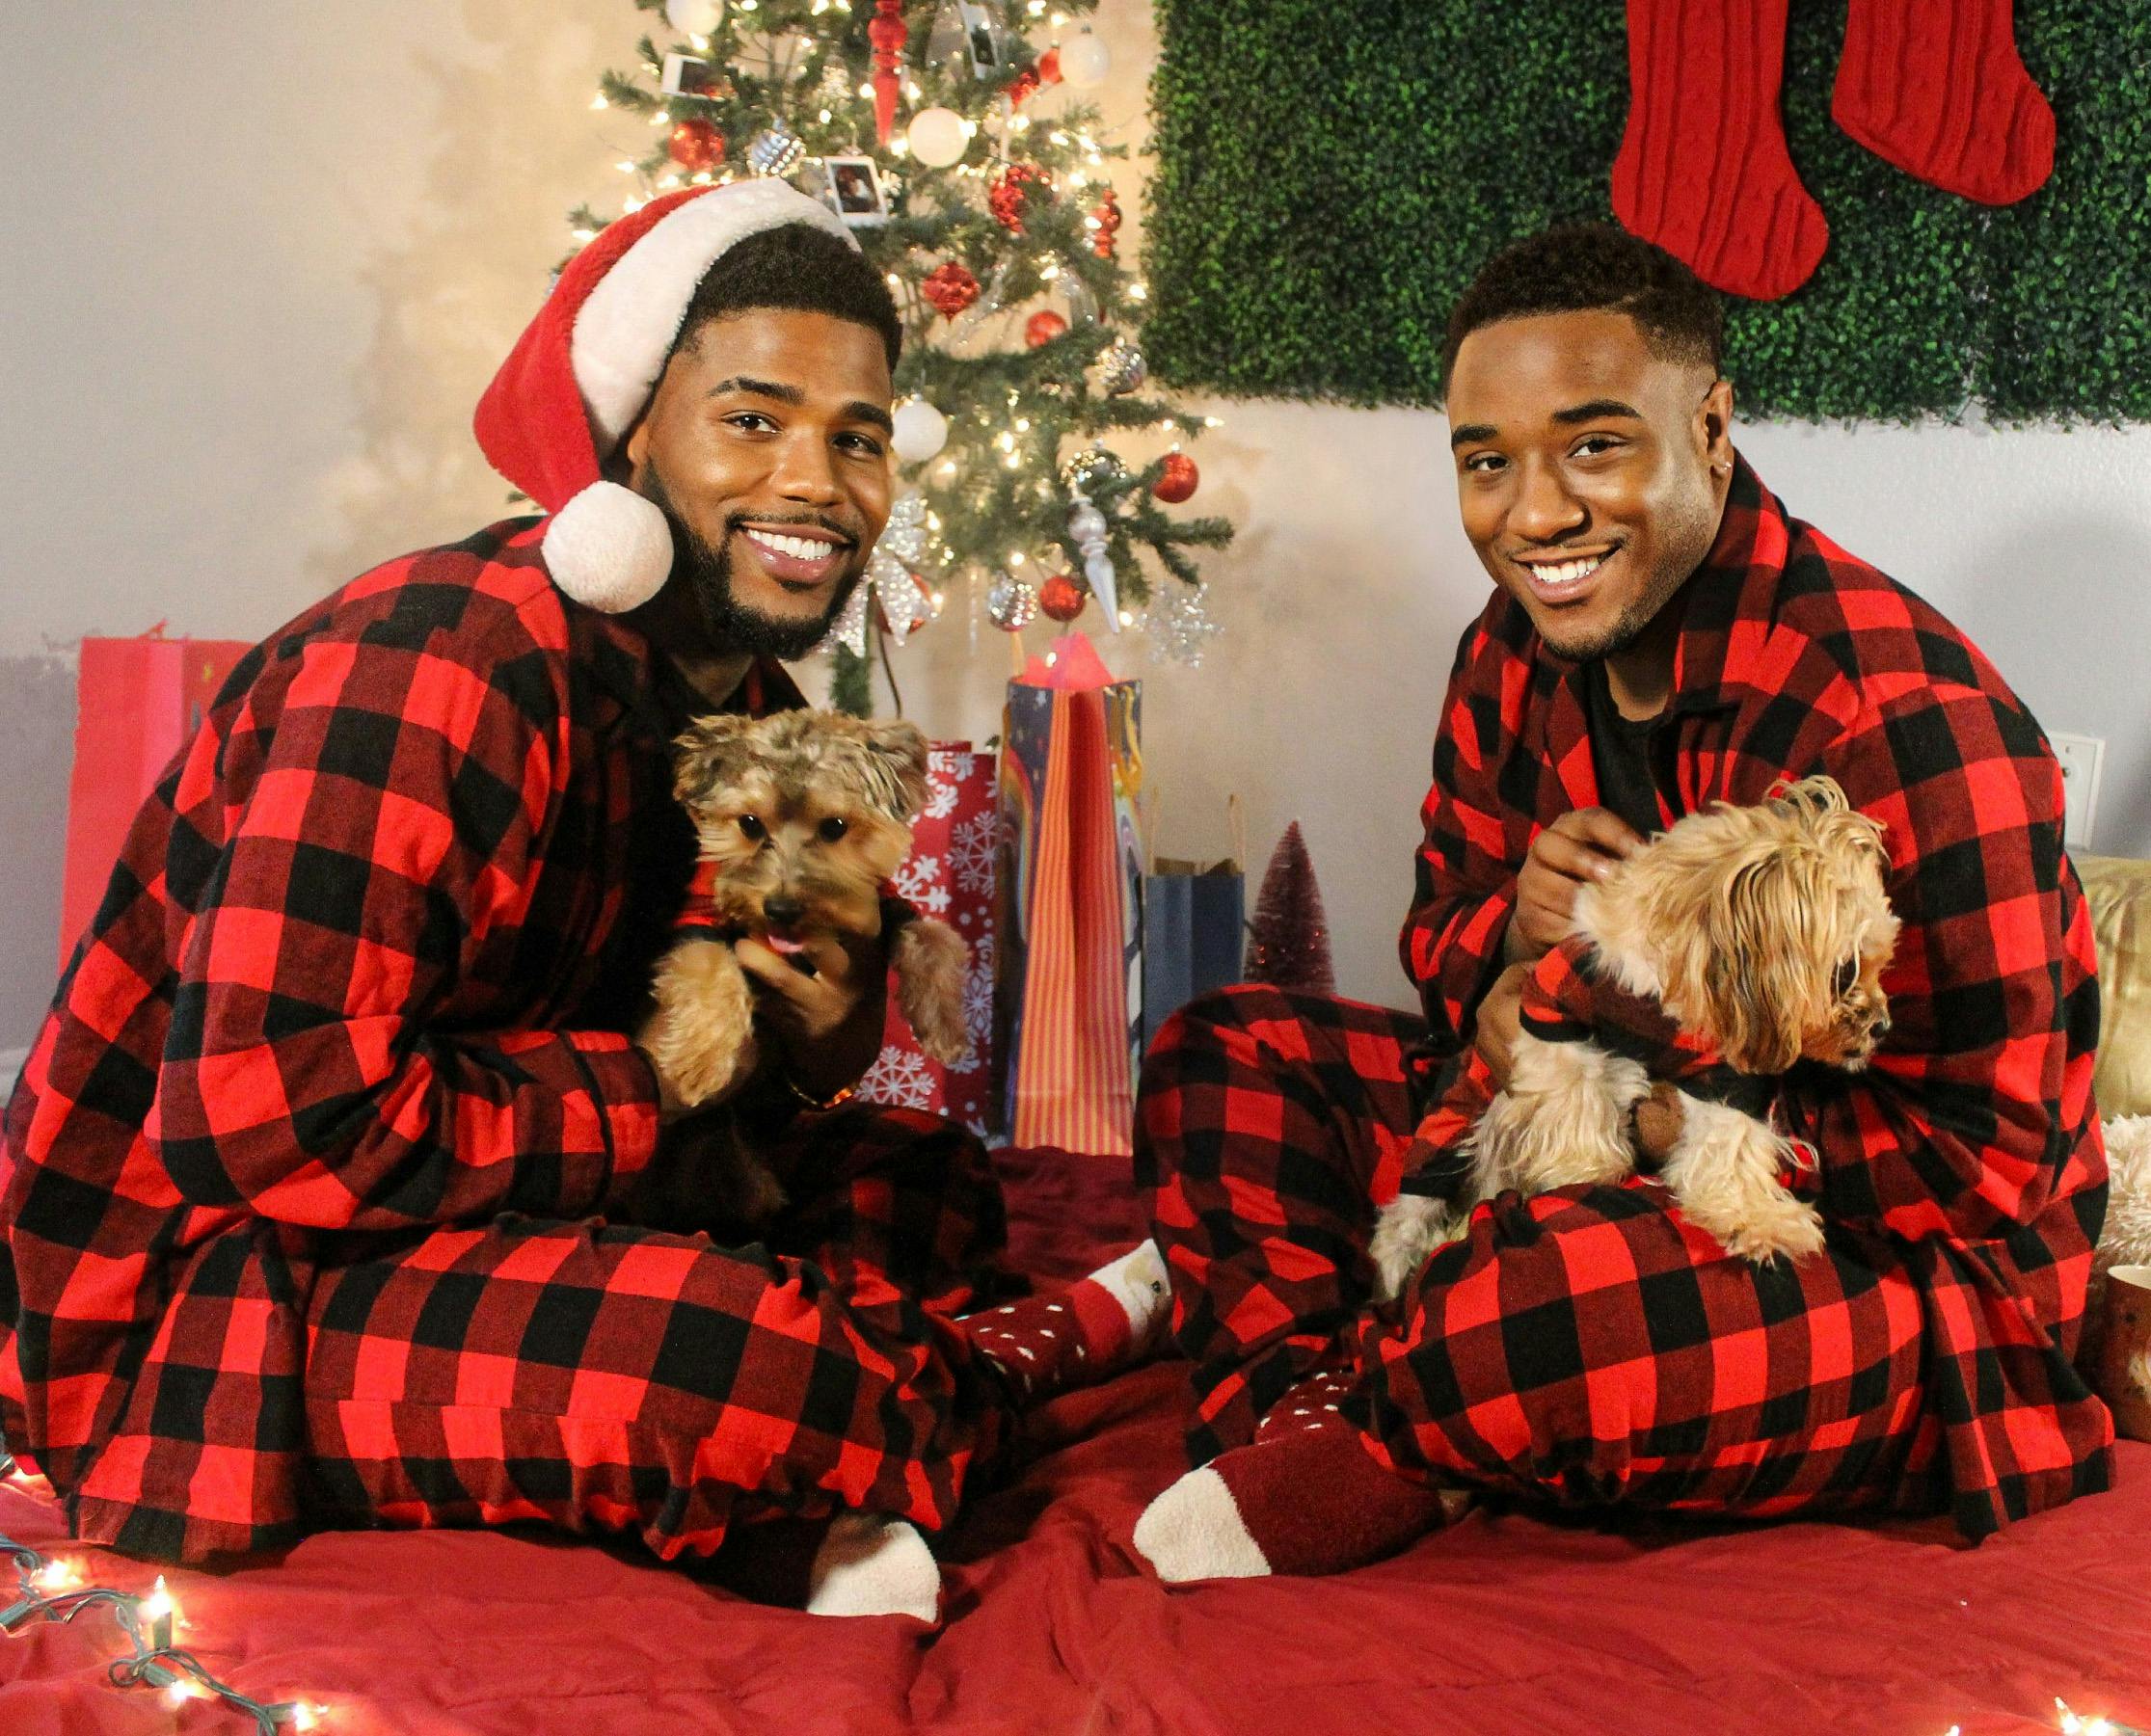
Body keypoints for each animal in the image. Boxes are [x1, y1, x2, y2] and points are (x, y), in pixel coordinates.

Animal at [632, 713, 972, 1230]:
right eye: (749, 824)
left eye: (835, 827)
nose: (781, 908)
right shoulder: (698, 921)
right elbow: (711, 969)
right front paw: (699, 1065)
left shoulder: (889, 908)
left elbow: (934, 940)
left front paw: (945, 1026)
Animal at [1376, 774, 1901, 1291]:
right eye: (1844, 972)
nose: (1883, 1026)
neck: (1665, 1001)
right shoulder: (1554, 1013)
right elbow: (1574, 1090)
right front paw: (1586, 1165)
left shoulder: (1727, 1077)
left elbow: (1729, 1148)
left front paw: (1758, 1220)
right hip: (1444, 1142)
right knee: (1406, 1218)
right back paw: (1392, 1277)